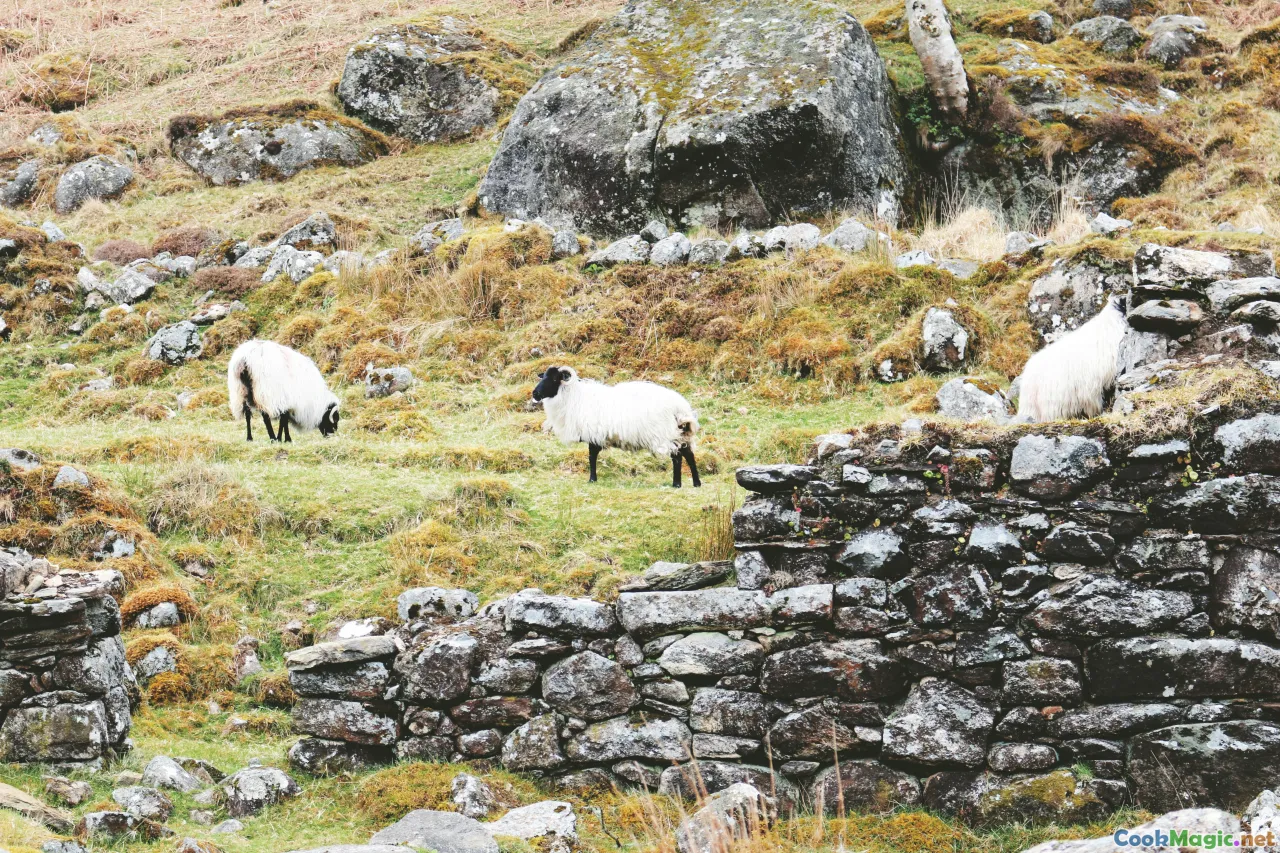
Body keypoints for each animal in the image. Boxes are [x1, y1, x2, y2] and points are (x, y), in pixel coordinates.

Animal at [532, 366, 701, 487]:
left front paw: (592, 479)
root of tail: (681, 407)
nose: (535, 394)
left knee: (677, 457)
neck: (573, 398)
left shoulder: (594, 434)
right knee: (689, 454)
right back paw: (696, 483)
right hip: (681, 433)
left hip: (665, 434)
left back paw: (676, 484)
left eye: (555, 378)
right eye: (543, 376)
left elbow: (592, 456)